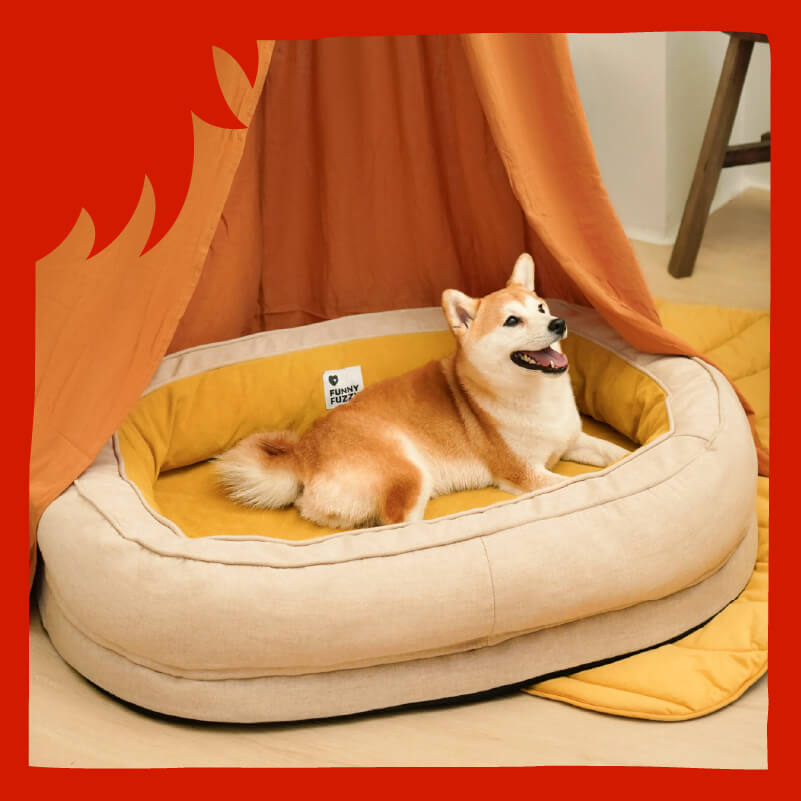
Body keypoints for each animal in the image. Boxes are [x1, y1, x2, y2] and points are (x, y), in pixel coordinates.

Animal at [215, 253, 628, 528]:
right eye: (512, 321)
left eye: (541, 308)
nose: (558, 323)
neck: (538, 397)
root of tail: (303, 453)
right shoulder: (525, 473)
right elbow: (576, 483)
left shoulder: (572, 442)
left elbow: (616, 455)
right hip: (409, 472)